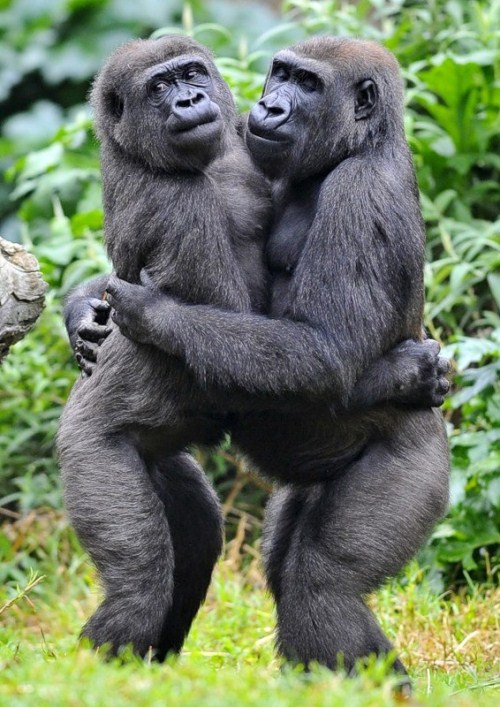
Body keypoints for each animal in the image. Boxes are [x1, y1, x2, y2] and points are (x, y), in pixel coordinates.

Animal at [88, 37, 451, 677]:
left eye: (305, 83)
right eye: (160, 88)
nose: (270, 106)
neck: (366, 146)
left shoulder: (358, 189)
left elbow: (321, 354)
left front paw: (147, 313)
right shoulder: (175, 200)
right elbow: (298, 359)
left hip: (418, 464)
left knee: (320, 586)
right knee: (147, 578)